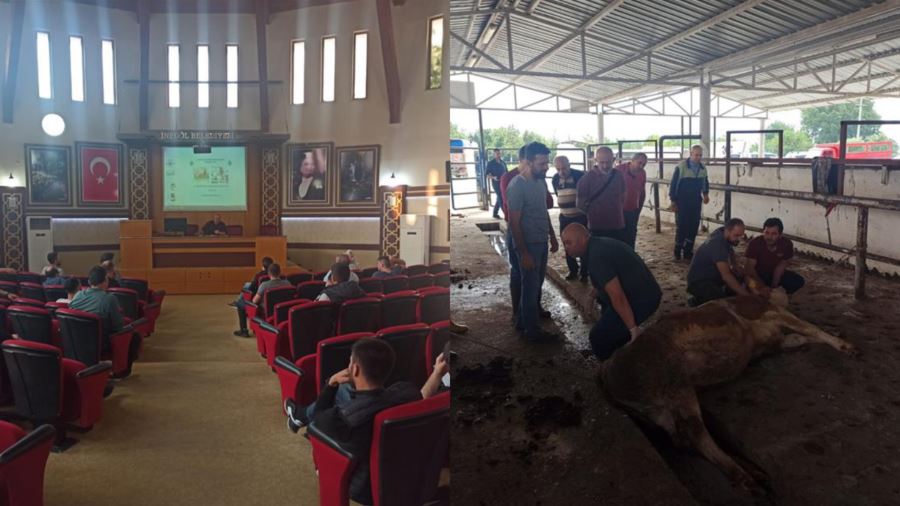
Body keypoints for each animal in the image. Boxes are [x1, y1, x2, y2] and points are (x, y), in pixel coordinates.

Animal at [600, 296, 856, 490]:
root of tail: (606, 372)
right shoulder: (771, 313)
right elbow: (810, 327)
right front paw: (845, 345)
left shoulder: (777, 340)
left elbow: (800, 336)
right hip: (676, 383)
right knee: (696, 434)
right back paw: (744, 477)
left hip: (659, 411)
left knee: (681, 440)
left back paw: (755, 473)